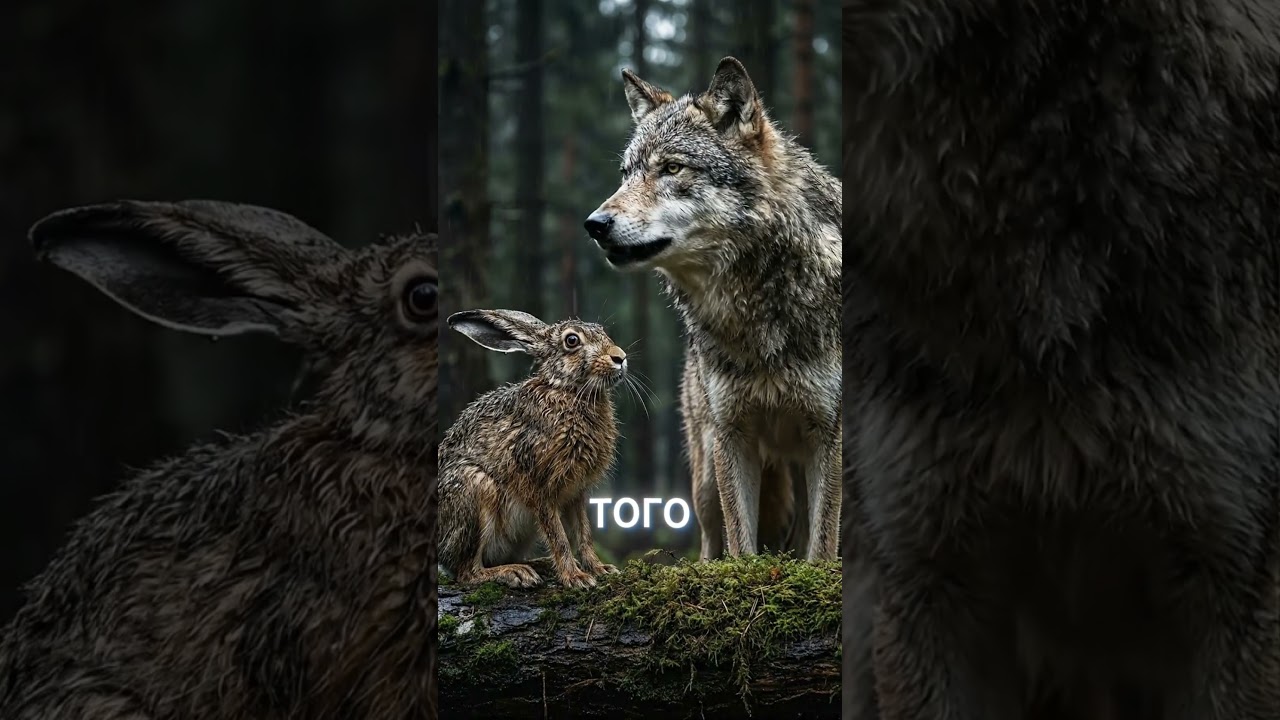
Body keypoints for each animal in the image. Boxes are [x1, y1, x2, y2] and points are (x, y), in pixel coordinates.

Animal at [584, 57, 842, 562]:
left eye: (671, 167)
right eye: (626, 174)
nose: (595, 224)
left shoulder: (828, 433)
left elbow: (822, 550)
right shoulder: (733, 434)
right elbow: (741, 545)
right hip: (705, 475)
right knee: (710, 540)